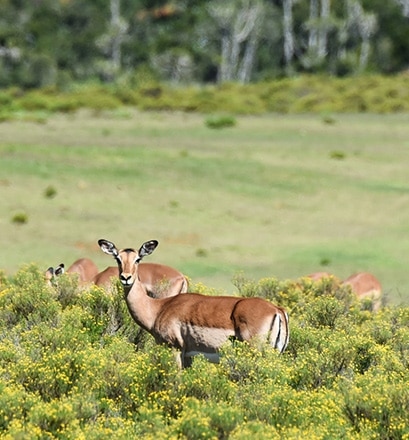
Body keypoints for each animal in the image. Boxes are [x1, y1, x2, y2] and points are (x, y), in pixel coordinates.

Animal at [98, 239, 290, 366]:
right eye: (118, 258)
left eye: (138, 259)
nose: (126, 278)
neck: (158, 309)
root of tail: (277, 310)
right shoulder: (189, 356)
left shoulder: (174, 349)